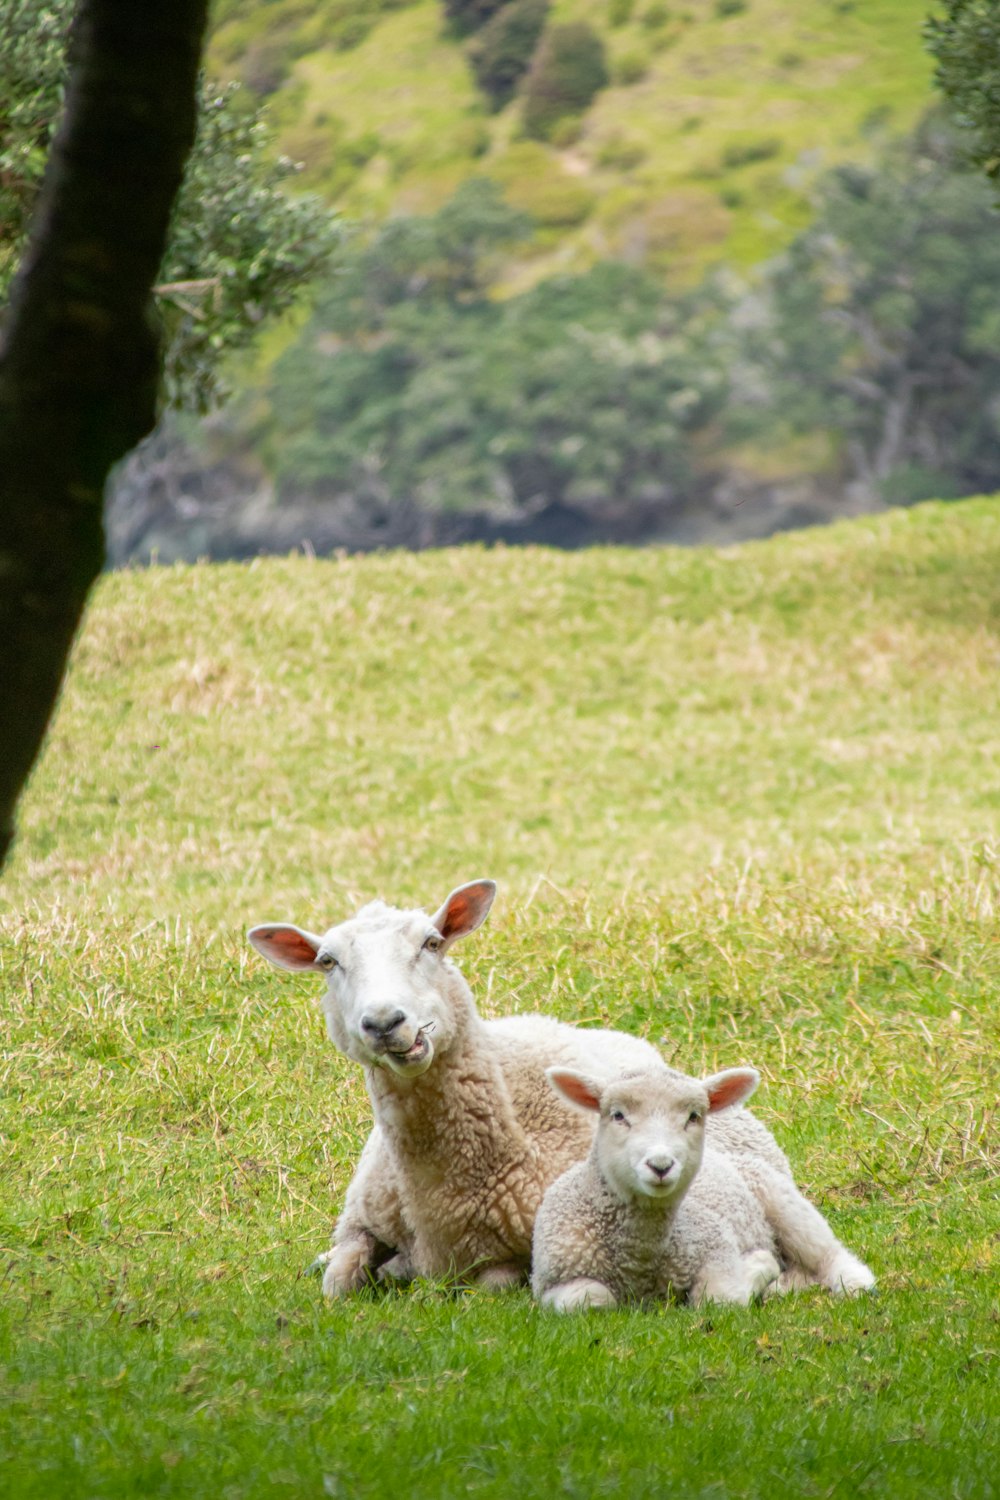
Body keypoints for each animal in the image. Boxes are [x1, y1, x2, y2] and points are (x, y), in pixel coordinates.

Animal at [530, 1062, 875, 1308]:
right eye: (617, 1115)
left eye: (693, 1117)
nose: (660, 1165)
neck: (638, 1258)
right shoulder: (549, 1279)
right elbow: (589, 1299)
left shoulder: (717, 1250)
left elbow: (719, 1298)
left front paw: (758, 1266)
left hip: (782, 1200)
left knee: (828, 1253)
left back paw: (853, 1283)